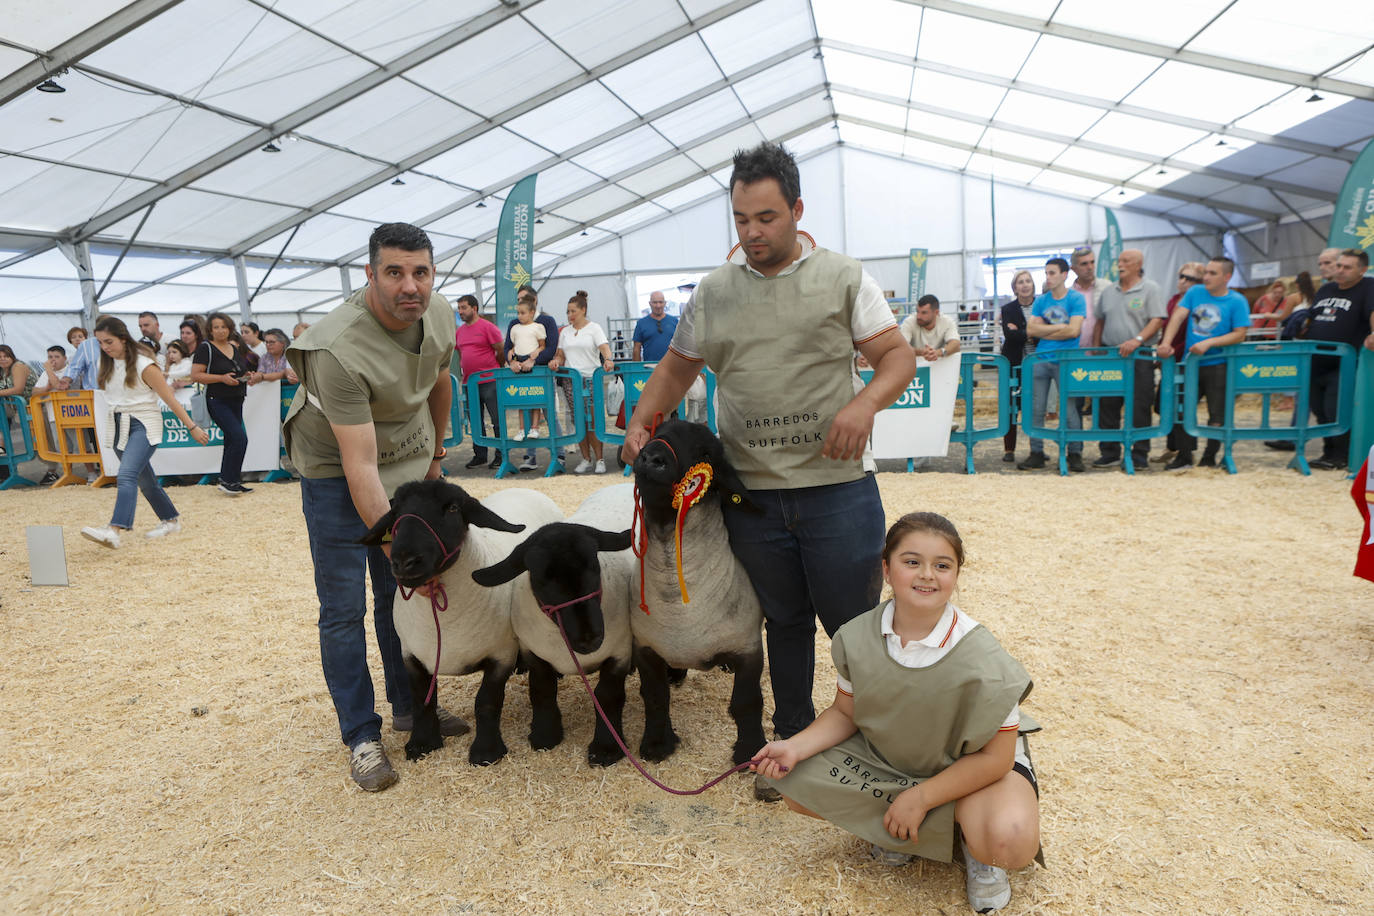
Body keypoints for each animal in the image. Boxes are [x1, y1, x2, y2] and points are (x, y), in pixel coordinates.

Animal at [362, 480, 566, 769]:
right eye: (396, 513)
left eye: (452, 508)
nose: (404, 562)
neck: (445, 622)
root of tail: (526, 488)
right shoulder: (411, 655)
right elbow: (421, 701)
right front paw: (422, 744)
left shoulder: (500, 655)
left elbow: (486, 703)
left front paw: (486, 752)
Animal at [469, 486, 634, 769]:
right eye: (540, 579)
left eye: (595, 565)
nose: (589, 638)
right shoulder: (535, 652)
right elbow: (542, 690)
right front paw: (546, 734)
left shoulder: (619, 652)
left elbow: (607, 696)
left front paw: (606, 748)